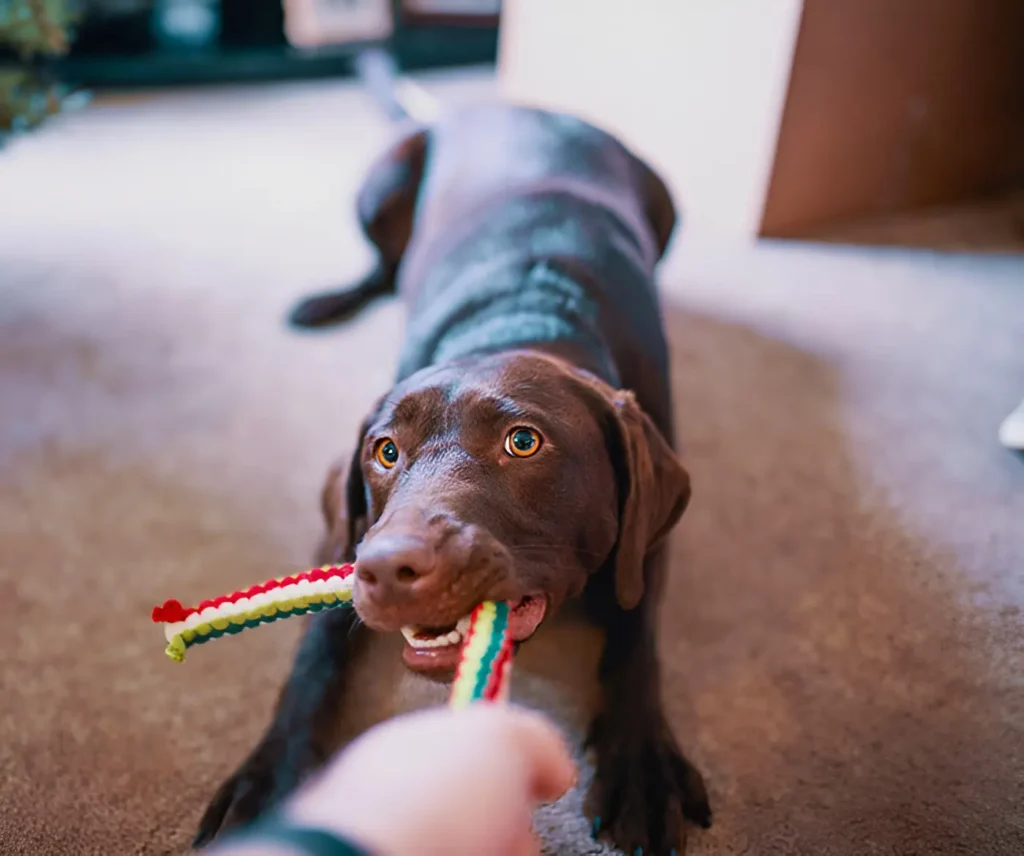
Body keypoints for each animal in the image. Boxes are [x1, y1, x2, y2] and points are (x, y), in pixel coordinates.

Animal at [193, 103, 712, 851]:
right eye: (385, 452)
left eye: (524, 442)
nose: (389, 569)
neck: (521, 317)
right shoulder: (347, 535)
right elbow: (312, 654)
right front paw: (268, 776)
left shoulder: (647, 540)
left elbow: (635, 635)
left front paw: (641, 763)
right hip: (382, 181)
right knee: (383, 269)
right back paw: (328, 301)